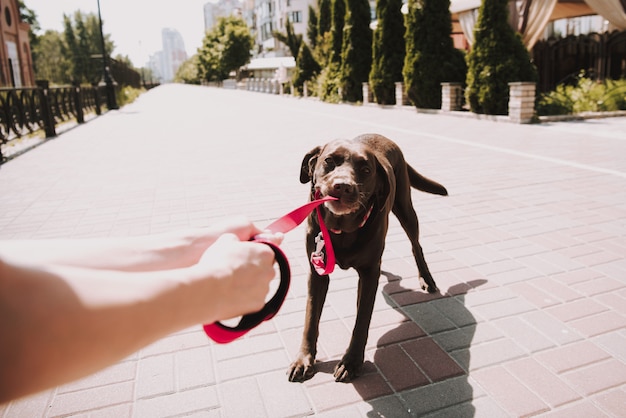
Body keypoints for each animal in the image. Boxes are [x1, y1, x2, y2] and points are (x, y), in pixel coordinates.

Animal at [286, 133, 446, 382]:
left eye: (366, 170)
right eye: (329, 161)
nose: (343, 186)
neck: (342, 230)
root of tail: (384, 137)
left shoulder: (370, 273)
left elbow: (362, 321)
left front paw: (351, 362)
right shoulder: (317, 273)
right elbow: (310, 319)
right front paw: (304, 360)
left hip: (406, 209)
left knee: (416, 245)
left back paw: (426, 278)